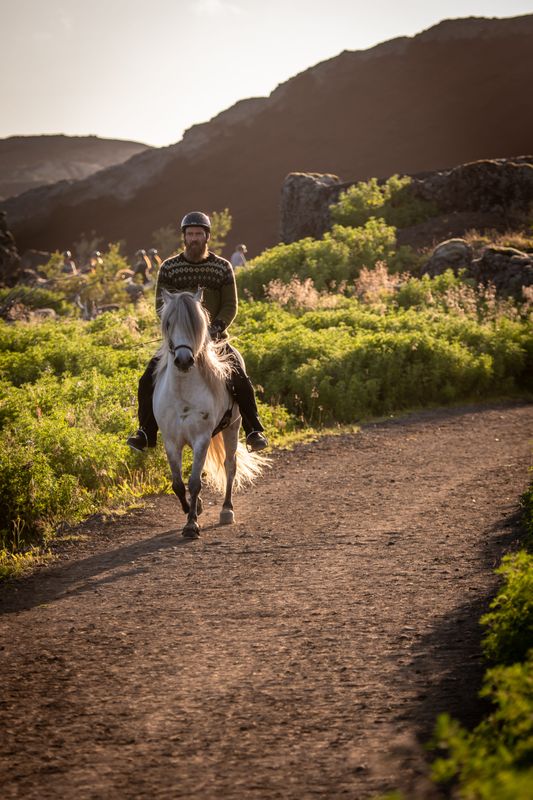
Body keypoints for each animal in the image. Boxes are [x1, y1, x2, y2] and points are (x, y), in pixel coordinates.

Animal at [152, 289, 266, 539]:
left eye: (197, 324)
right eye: (168, 323)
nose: (184, 361)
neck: (183, 391)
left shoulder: (201, 438)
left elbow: (195, 482)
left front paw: (191, 525)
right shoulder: (171, 441)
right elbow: (178, 483)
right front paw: (193, 509)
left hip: (233, 426)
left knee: (230, 465)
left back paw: (226, 510)